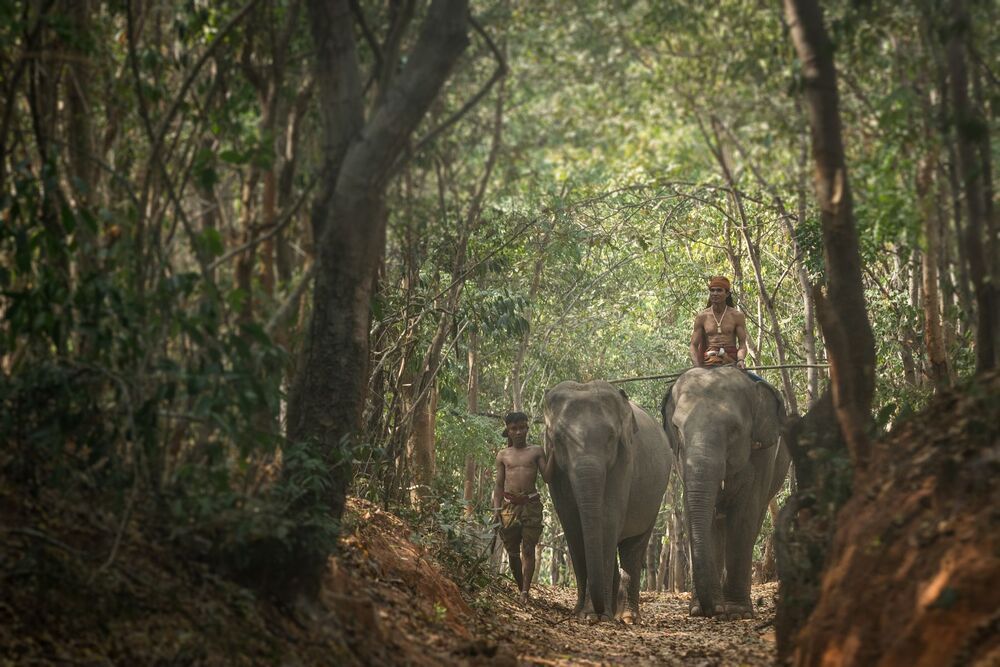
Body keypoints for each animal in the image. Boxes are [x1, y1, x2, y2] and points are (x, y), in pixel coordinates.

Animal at [543, 380, 673, 623]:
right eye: (558, 439)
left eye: (611, 438)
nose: (599, 609)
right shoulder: (556, 471)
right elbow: (572, 524)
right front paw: (583, 614)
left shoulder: (624, 460)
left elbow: (608, 517)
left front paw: (594, 616)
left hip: (656, 499)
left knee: (634, 547)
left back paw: (627, 617)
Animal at [661, 366, 790, 620]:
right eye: (677, 429)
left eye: (734, 429)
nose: (712, 610)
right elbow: (699, 516)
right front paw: (699, 610)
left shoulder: (763, 456)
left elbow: (743, 517)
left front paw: (737, 612)